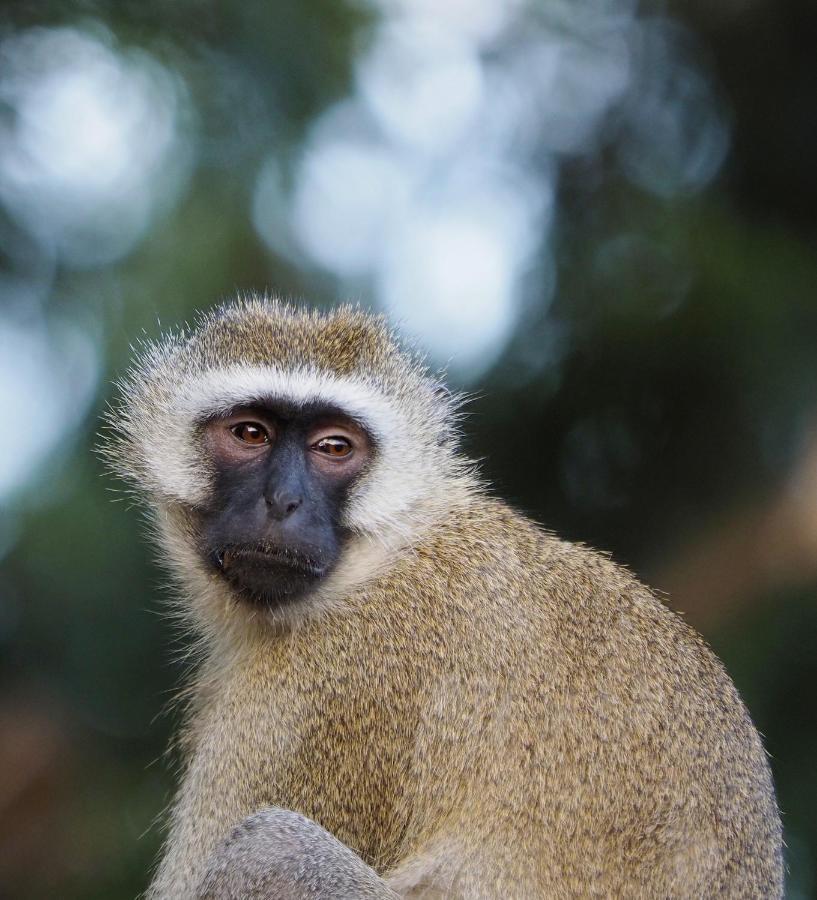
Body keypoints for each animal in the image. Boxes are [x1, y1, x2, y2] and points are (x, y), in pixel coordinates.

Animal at [105, 298, 780, 896]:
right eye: (250, 433)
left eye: (334, 448)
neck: (381, 557)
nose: (283, 502)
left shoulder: (321, 696)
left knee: (271, 849)